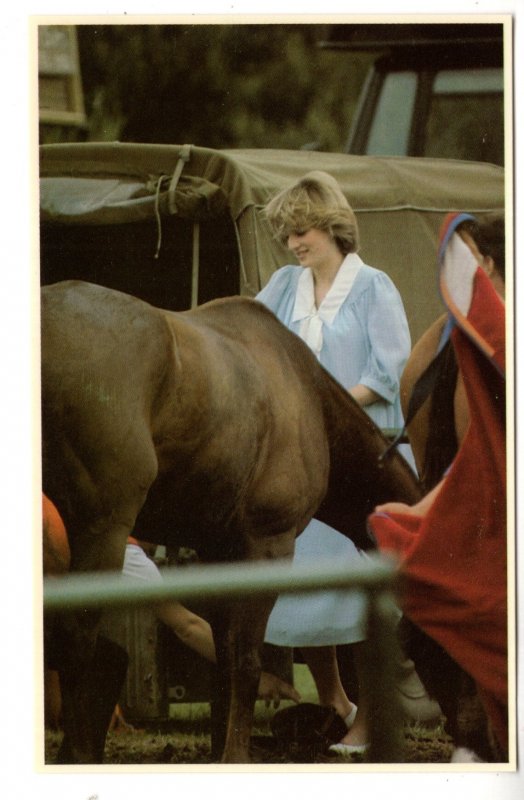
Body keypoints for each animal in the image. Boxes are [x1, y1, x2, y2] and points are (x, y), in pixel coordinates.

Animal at [41, 282, 420, 764]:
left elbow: (224, 656)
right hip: (102, 532)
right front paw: (236, 754)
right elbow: (246, 657)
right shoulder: (268, 545)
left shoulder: (220, 552)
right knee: (77, 643)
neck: (308, 396)